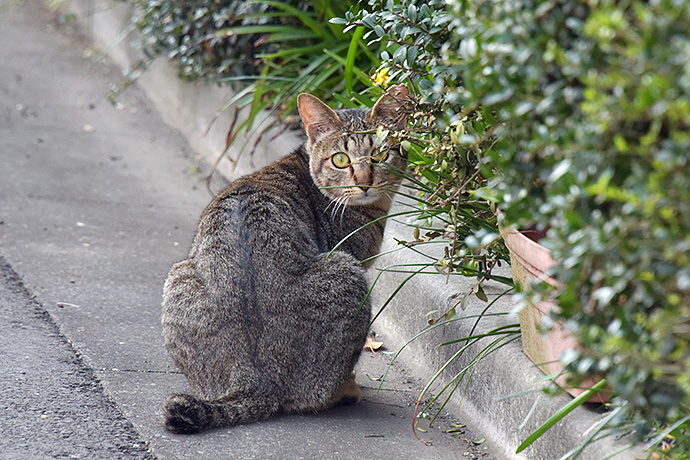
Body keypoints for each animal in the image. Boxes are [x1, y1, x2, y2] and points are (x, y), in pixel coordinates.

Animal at [161, 84, 408, 434]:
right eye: (341, 160)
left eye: (381, 154)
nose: (364, 182)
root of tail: (255, 377)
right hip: (348, 274)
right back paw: (346, 390)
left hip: (179, 277)